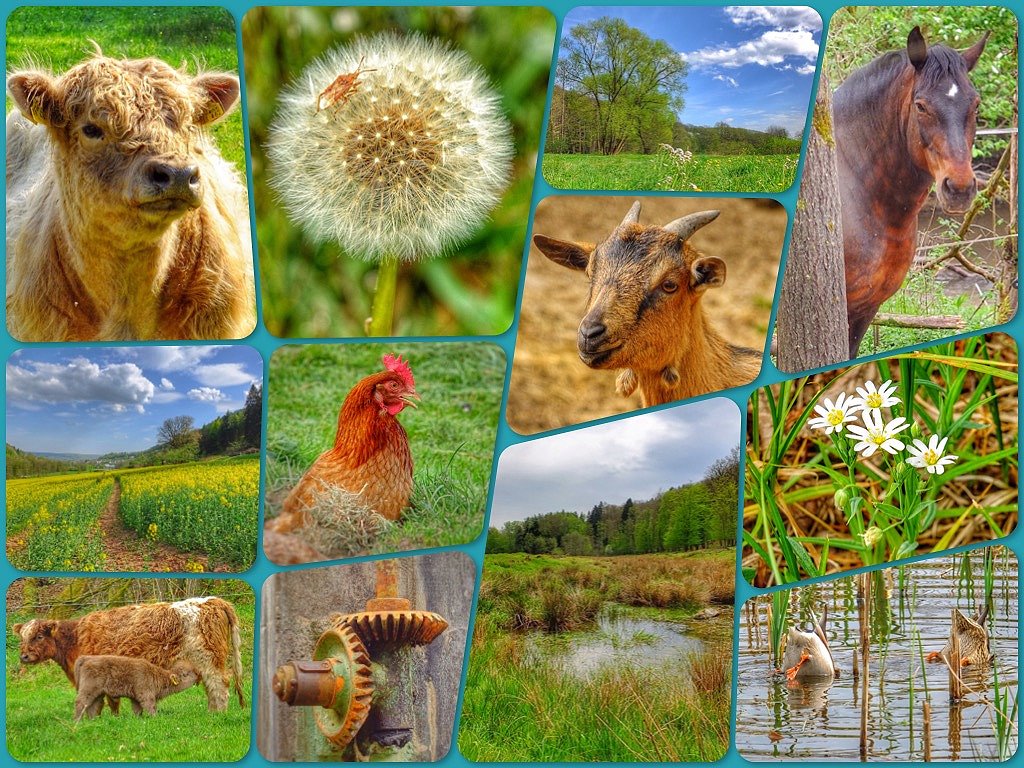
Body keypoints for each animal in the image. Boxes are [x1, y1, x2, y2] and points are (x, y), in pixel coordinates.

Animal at [12, 593, 244, 716]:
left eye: (38, 637)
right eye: (22, 637)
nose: (23, 656)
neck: (75, 638)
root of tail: (212, 601)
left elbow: (103, 702)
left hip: (209, 660)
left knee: (219, 686)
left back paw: (218, 714)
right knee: (211, 688)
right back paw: (211, 712)